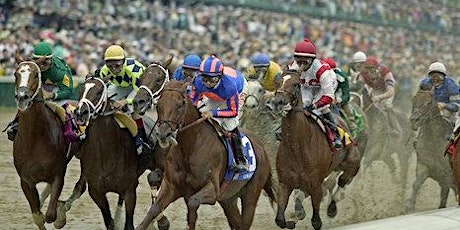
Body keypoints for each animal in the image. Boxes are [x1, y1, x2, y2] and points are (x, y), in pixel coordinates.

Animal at [11, 55, 82, 228]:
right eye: (16, 74)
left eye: (36, 75)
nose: (22, 98)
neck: (35, 139)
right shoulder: (26, 181)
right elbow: (38, 216)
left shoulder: (58, 174)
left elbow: (50, 215)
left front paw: (59, 217)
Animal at [135, 80, 274, 230]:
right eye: (158, 105)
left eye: (180, 105)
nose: (163, 135)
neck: (189, 149)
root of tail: (262, 148)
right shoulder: (171, 187)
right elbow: (153, 211)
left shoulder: (213, 191)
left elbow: (192, 203)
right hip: (228, 199)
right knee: (236, 221)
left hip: (251, 195)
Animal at [266, 70, 362, 230]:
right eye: (277, 82)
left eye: (296, 84)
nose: (277, 102)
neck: (297, 147)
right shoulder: (285, 184)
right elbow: (280, 219)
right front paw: (291, 221)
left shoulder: (316, 185)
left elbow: (316, 221)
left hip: (352, 163)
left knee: (343, 180)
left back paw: (332, 208)